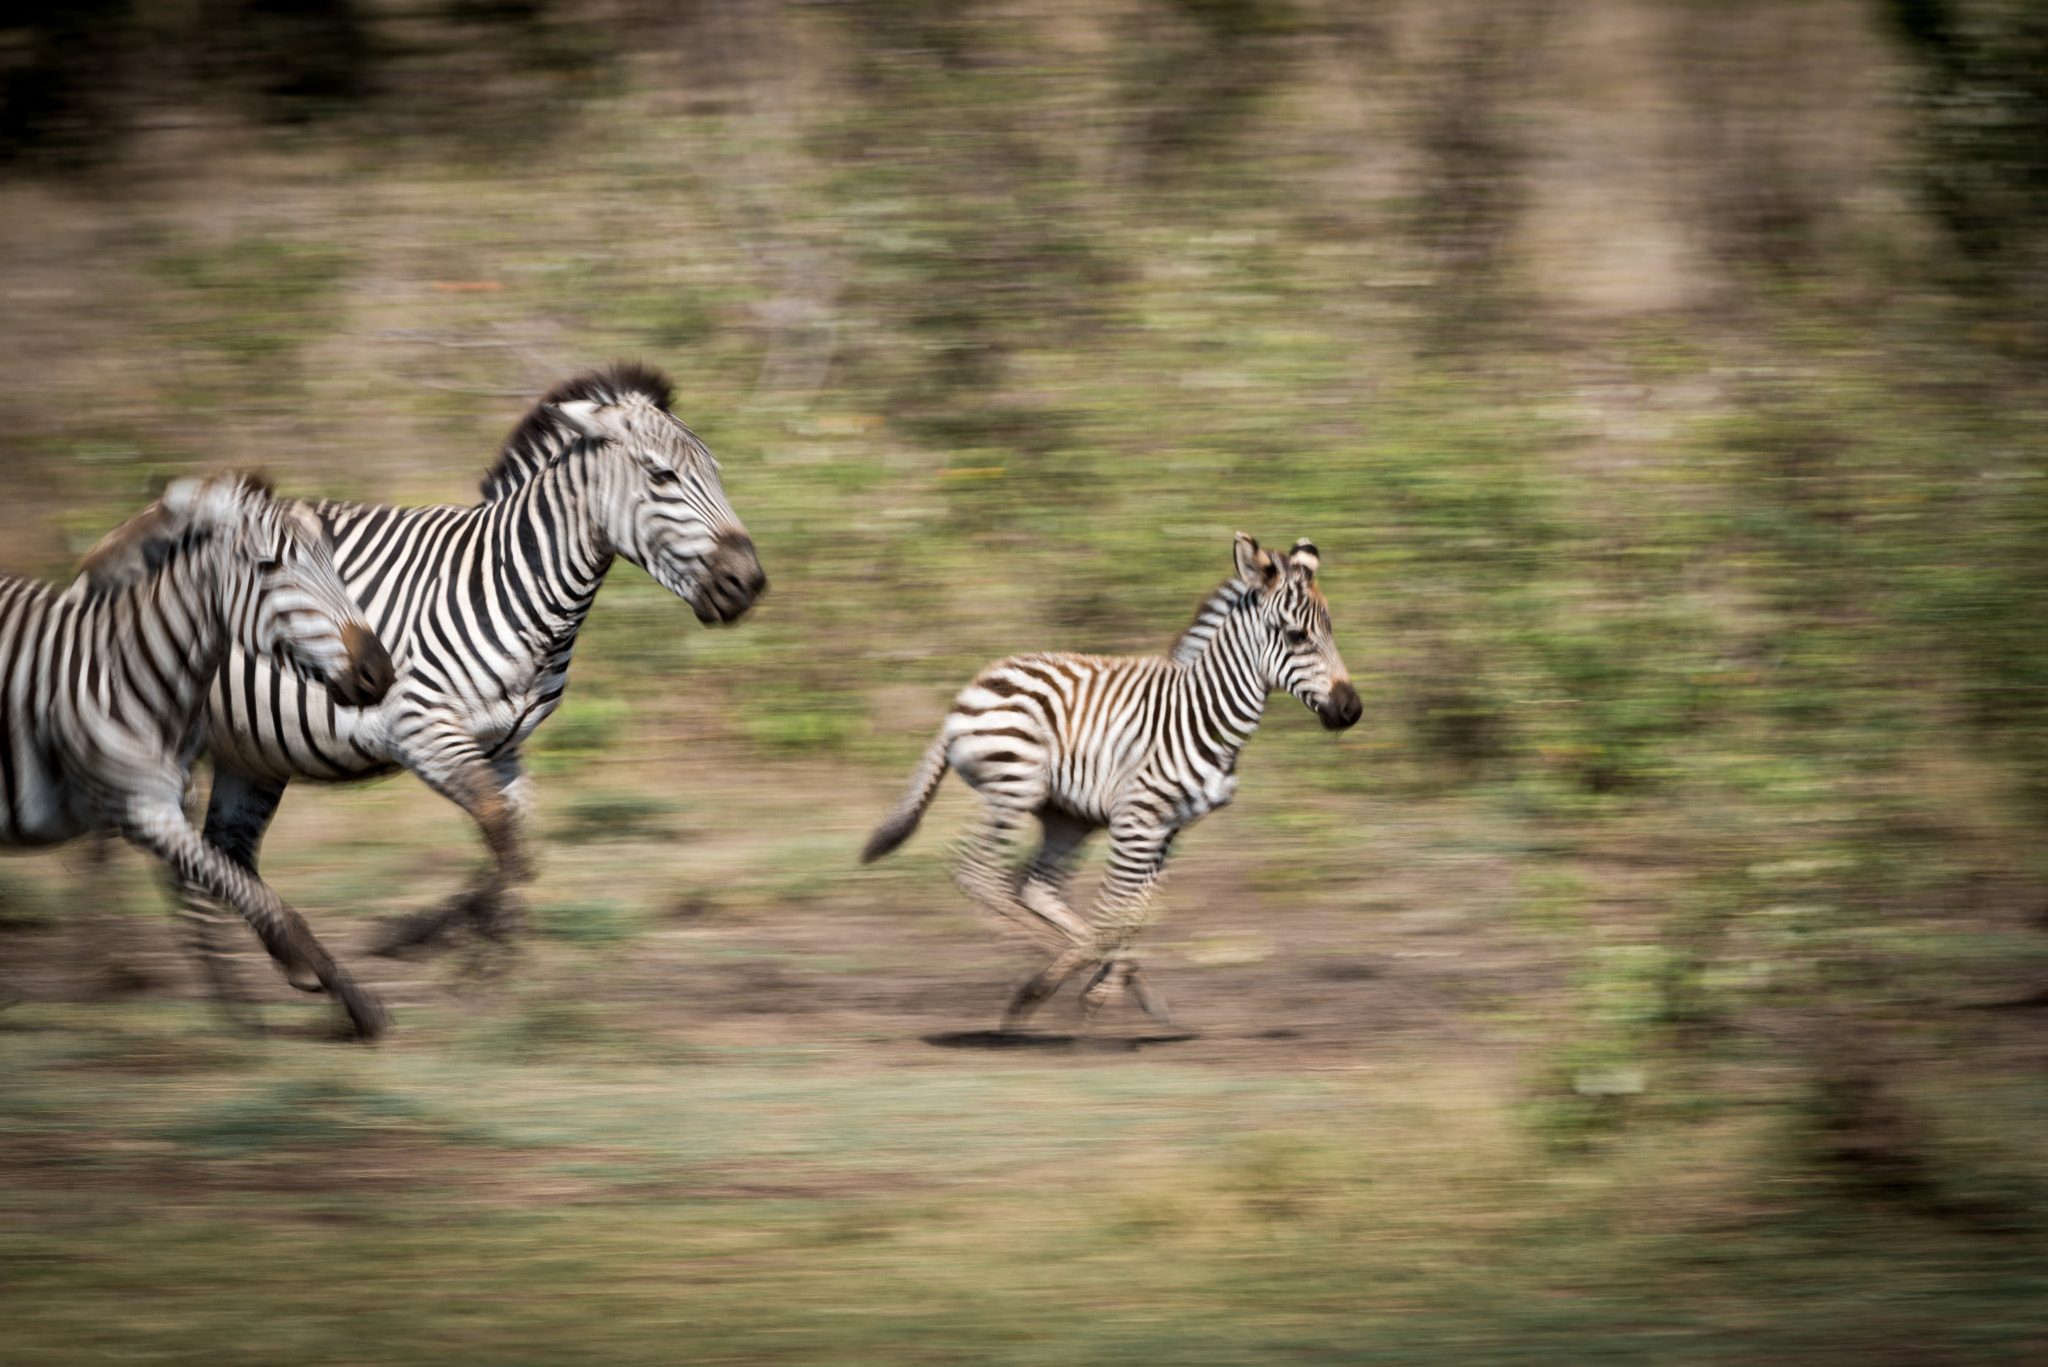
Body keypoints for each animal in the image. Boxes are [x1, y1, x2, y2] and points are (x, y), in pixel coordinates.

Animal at [3, 473, 396, 1037]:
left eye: (335, 564)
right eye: (268, 566)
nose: (379, 672)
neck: (125, 669)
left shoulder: (172, 801)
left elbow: (214, 890)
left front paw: (240, 1001)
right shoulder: (145, 809)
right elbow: (259, 900)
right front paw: (354, 1004)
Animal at [185, 363, 766, 961]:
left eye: (716, 473)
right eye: (662, 476)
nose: (747, 584)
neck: (524, 594)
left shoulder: (504, 746)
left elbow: (516, 851)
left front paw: (485, 944)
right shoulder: (417, 729)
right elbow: (504, 839)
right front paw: (444, 941)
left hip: (246, 754)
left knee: (217, 861)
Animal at [862, 533, 1361, 1031]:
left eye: (1330, 630)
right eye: (1296, 636)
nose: (1351, 710)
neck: (1203, 713)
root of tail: (976, 683)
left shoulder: (1167, 829)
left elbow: (1133, 914)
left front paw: (1110, 989)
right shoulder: (1136, 821)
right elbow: (1115, 913)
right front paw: (1087, 991)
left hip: (1066, 816)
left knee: (1037, 888)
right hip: (1015, 786)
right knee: (979, 873)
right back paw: (1038, 981)